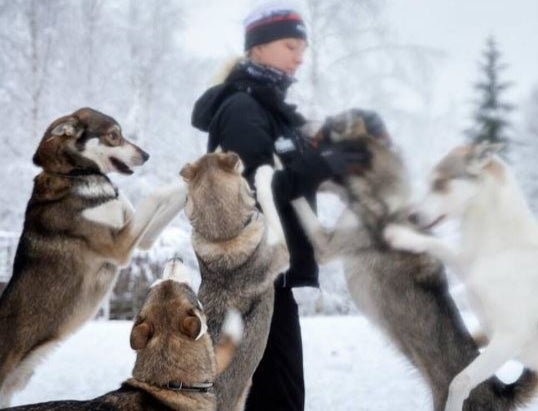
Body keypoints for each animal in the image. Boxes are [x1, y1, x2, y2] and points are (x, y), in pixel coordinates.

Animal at [0, 107, 186, 408]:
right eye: (114, 135)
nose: (146, 155)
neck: (76, 175)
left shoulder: (141, 238)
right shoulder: (120, 245)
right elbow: (159, 192)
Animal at [384, 142, 538, 411]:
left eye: (439, 183)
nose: (412, 216)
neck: (502, 245)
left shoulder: (509, 338)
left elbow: (459, 382)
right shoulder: (465, 263)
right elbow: (439, 246)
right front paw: (399, 236)